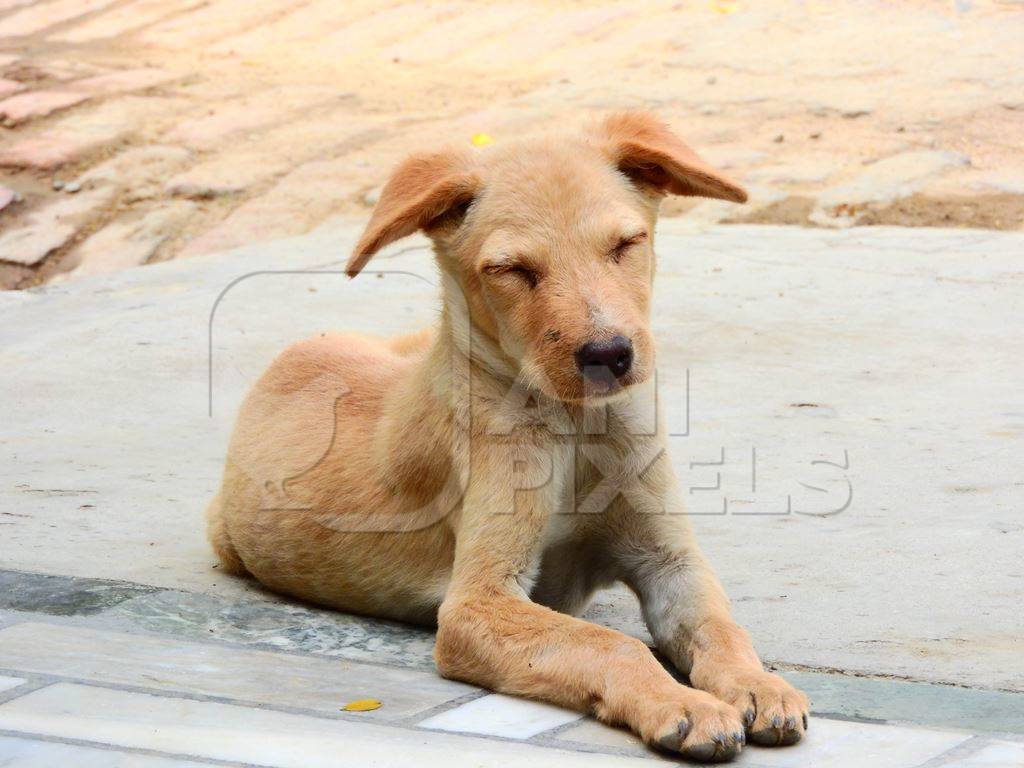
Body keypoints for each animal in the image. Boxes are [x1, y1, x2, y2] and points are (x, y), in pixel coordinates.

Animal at [207, 112, 811, 765]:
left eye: (625, 245)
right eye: (513, 270)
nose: (609, 355)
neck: (577, 429)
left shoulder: (671, 561)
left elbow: (721, 626)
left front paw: (758, 683)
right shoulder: (478, 602)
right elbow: (610, 643)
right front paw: (682, 703)